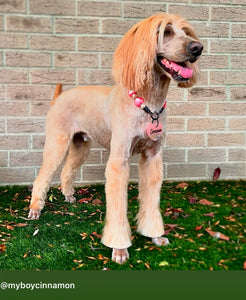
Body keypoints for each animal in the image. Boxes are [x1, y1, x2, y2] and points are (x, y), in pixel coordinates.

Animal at [27, 12, 203, 264]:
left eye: (187, 32)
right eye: (166, 32)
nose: (197, 48)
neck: (148, 106)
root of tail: (59, 96)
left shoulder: (152, 157)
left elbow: (151, 199)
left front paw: (156, 235)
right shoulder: (119, 160)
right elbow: (118, 206)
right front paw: (119, 249)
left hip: (81, 145)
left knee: (67, 171)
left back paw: (69, 196)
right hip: (57, 142)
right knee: (42, 176)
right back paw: (34, 209)